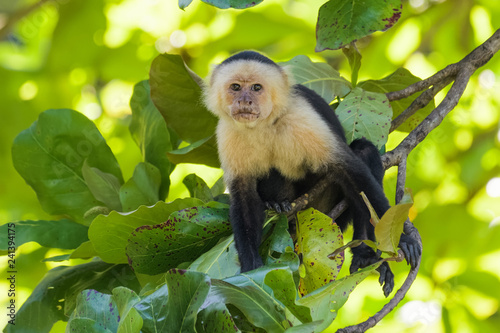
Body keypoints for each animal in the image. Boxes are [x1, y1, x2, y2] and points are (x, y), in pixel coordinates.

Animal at [202, 51, 418, 296]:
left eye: (256, 88)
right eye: (236, 87)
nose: (244, 101)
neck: (264, 124)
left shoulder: (301, 116)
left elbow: (349, 170)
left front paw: (401, 239)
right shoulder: (227, 132)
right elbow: (243, 196)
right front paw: (250, 268)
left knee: (363, 155)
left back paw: (365, 252)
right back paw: (279, 205)